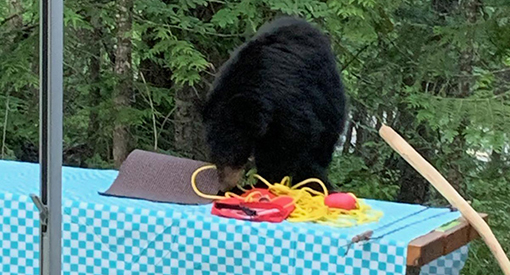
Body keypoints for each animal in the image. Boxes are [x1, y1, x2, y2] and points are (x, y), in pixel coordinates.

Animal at [201, 15, 348, 192]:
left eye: (232, 155)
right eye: (213, 158)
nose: (224, 186)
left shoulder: (288, 100)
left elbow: (294, 140)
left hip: (330, 100)